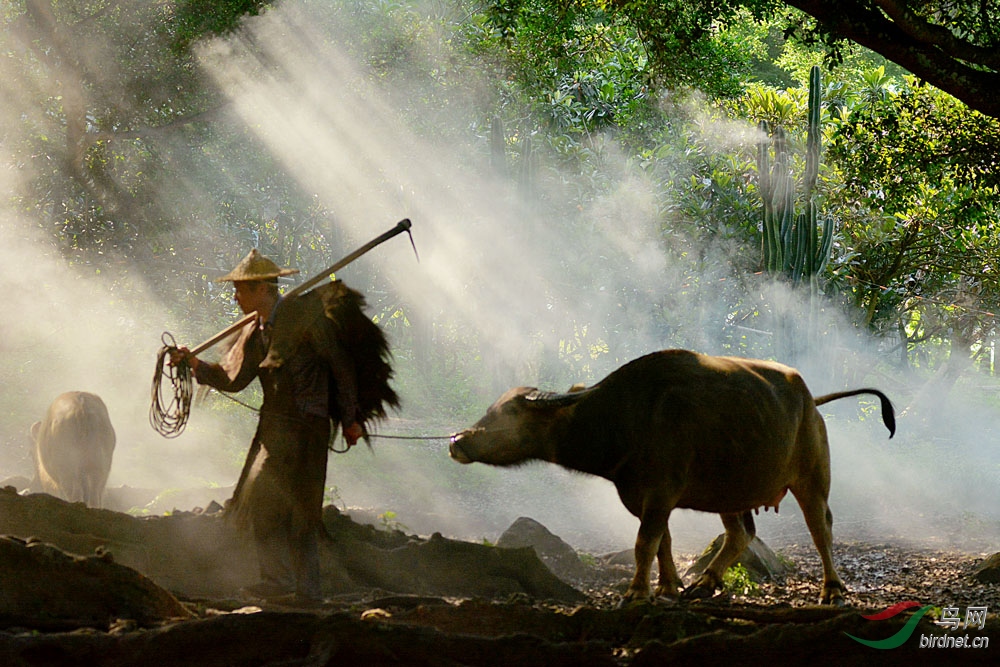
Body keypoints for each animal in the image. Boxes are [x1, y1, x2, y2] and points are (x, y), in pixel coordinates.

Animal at [450, 350, 896, 604]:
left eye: (508, 413)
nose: (457, 441)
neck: (627, 416)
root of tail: (810, 400)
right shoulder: (646, 498)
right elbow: (662, 542)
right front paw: (668, 587)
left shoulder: (660, 493)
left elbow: (644, 543)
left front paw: (637, 593)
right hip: (729, 491)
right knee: (741, 534)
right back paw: (706, 582)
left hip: (812, 479)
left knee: (821, 529)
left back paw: (833, 591)